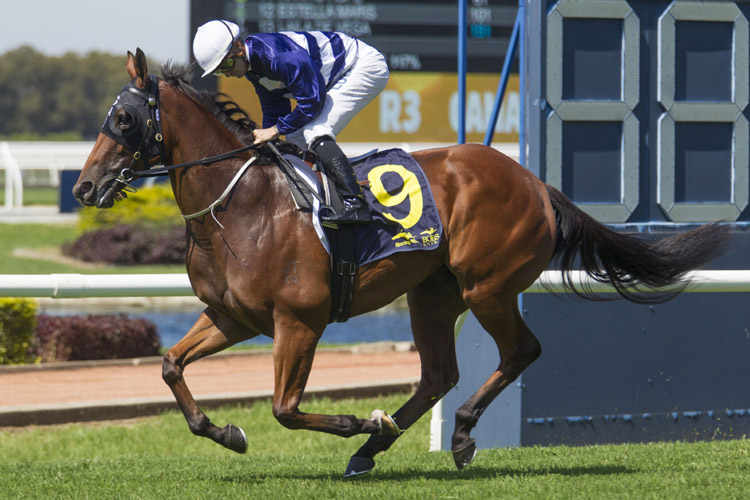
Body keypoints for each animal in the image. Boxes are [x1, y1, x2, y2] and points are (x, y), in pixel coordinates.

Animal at [73, 49, 732, 476]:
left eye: (125, 118)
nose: (84, 187)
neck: (242, 205)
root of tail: (535, 182)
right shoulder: (233, 317)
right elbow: (169, 366)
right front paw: (227, 432)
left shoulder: (299, 321)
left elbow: (285, 409)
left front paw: (362, 422)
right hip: (433, 293)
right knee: (439, 372)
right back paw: (375, 451)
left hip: (486, 286)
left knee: (520, 351)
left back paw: (454, 434)